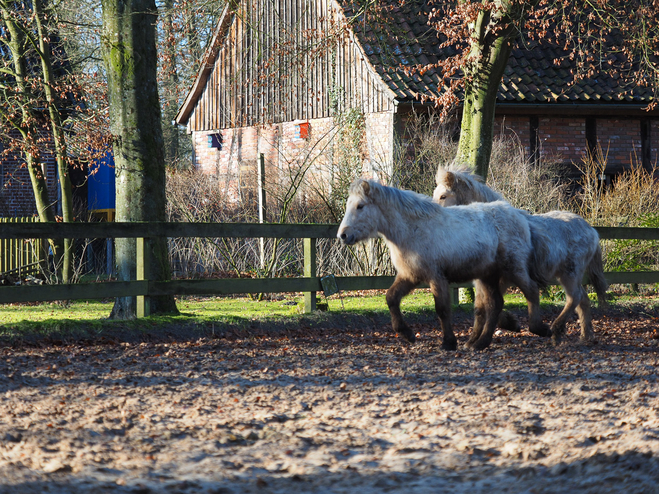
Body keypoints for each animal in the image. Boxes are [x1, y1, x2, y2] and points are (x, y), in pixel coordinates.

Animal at [340, 178, 548, 352]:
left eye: (360, 206)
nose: (343, 235)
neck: (412, 230)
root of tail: (519, 216)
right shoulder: (410, 276)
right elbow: (391, 298)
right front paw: (407, 334)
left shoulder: (436, 277)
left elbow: (442, 309)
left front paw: (448, 342)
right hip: (488, 276)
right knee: (495, 304)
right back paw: (480, 343)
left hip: (514, 268)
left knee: (531, 290)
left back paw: (538, 328)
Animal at [434, 166, 608, 344]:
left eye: (443, 196)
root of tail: (591, 230)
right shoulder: (490, 278)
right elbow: (482, 305)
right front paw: (506, 325)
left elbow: (491, 303)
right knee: (583, 299)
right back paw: (585, 336)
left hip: (570, 273)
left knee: (575, 297)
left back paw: (556, 330)